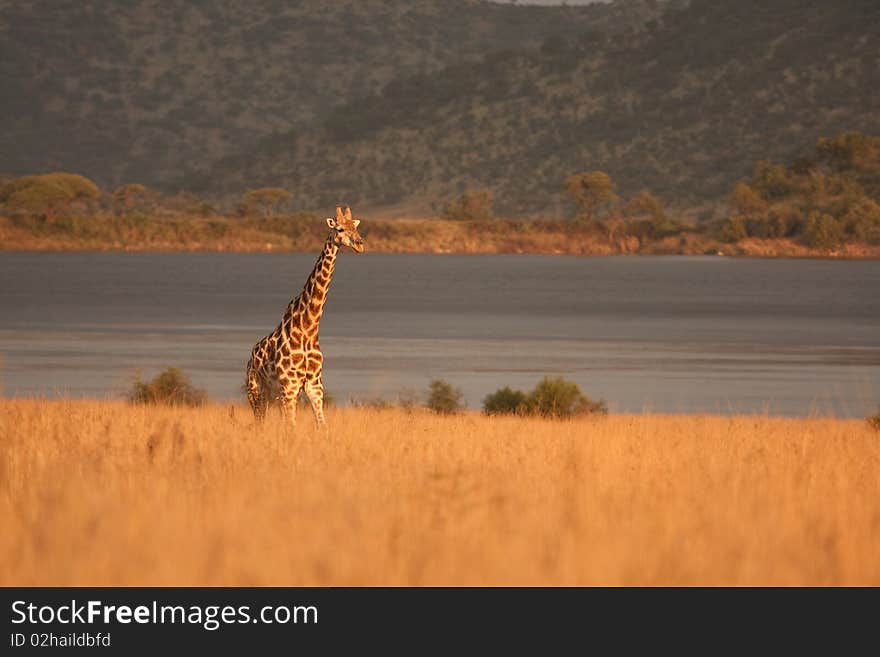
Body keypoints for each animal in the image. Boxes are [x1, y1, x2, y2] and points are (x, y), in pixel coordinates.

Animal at [244, 208, 364, 428]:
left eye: (356, 227)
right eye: (340, 229)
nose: (360, 244)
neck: (309, 327)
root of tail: (250, 358)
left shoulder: (314, 384)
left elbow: (322, 426)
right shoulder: (290, 384)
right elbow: (292, 427)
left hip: (275, 394)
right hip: (256, 390)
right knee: (260, 421)